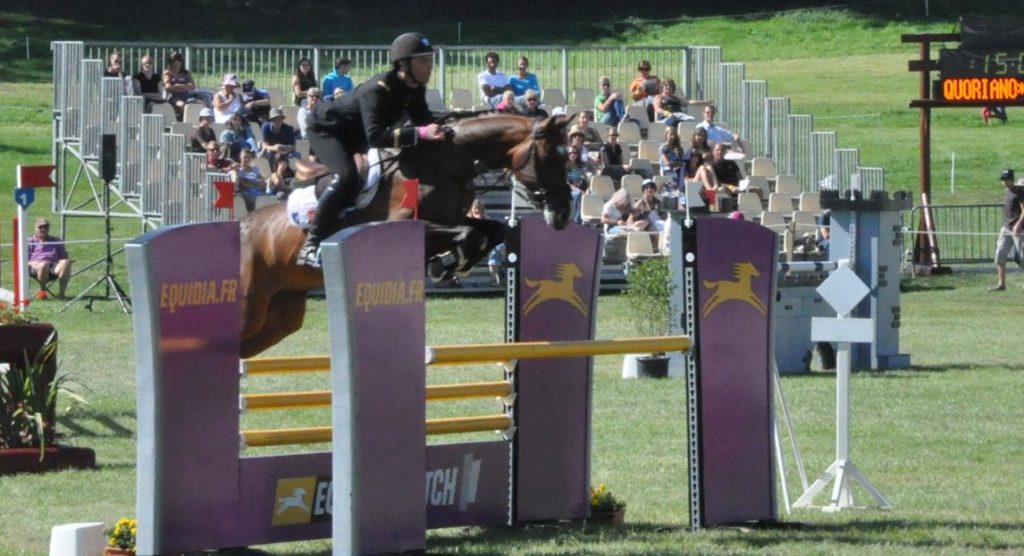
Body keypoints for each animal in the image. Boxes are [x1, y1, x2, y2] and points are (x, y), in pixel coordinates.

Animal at [239, 113, 577, 356]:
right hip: (251, 307)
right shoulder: (409, 223)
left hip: (279, 316)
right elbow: (469, 234)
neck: (442, 166)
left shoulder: (455, 219)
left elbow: (489, 232)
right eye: (550, 157)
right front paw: (444, 265)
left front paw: (449, 265)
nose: (562, 214)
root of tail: (242, 226)